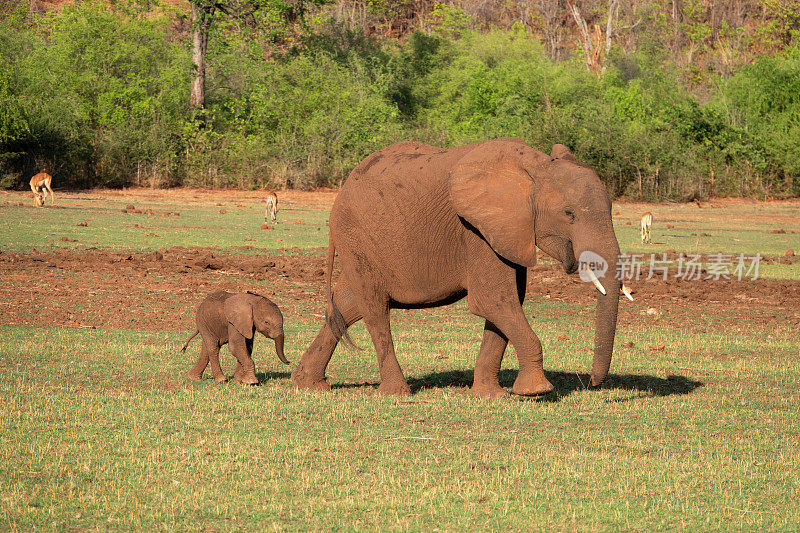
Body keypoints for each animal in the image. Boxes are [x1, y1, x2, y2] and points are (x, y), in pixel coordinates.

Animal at [294, 139, 624, 396]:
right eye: (568, 214)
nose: (592, 383)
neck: (535, 167)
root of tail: (344, 187)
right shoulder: (476, 231)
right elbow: (493, 301)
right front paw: (536, 392)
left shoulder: (506, 232)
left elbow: (506, 305)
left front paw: (490, 396)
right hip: (357, 235)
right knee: (374, 309)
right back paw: (397, 393)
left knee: (348, 302)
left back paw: (308, 385)